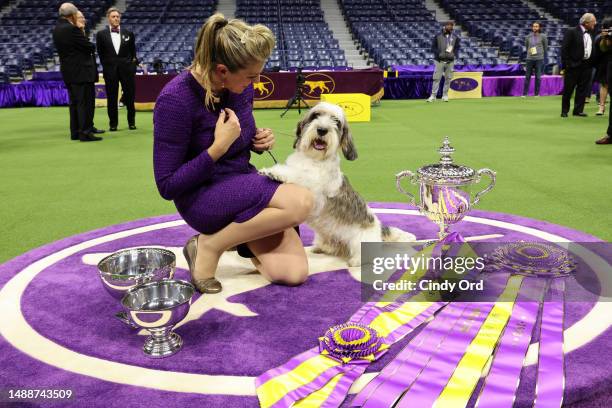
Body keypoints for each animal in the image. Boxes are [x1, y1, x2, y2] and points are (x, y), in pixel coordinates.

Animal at [258, 103, 416, 266]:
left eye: (337, 122)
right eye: (315, 116)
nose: (322, 130)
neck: (314, 159)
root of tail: (379, 230)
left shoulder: (315, 194)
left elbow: (299, 175)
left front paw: (275, 172)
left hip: (360, 242)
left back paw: (356, 261)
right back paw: (320, 248)